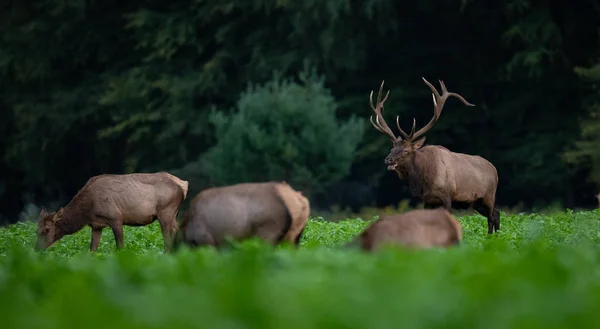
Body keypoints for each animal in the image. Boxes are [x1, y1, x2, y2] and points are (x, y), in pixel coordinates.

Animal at [34, 172, 188, 251]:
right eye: (36, 230)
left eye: (47, 230)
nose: (36, 248)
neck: (86, 213)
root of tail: (183, 184)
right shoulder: (96, 225)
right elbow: (92, 249)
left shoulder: (116, 218)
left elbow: (120, 246)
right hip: (173, 214)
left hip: (165, 212)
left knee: (168, 239)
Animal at [366, 78, 502, 233]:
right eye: (392, 147)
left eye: (406, 150)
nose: (388, 160)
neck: (425, 179)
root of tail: (495, 169)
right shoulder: (427, 200)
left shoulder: (447, 197)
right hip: (477, 202)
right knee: (497, 214)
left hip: (489, 196)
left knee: (491, 218)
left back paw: (491, 237)